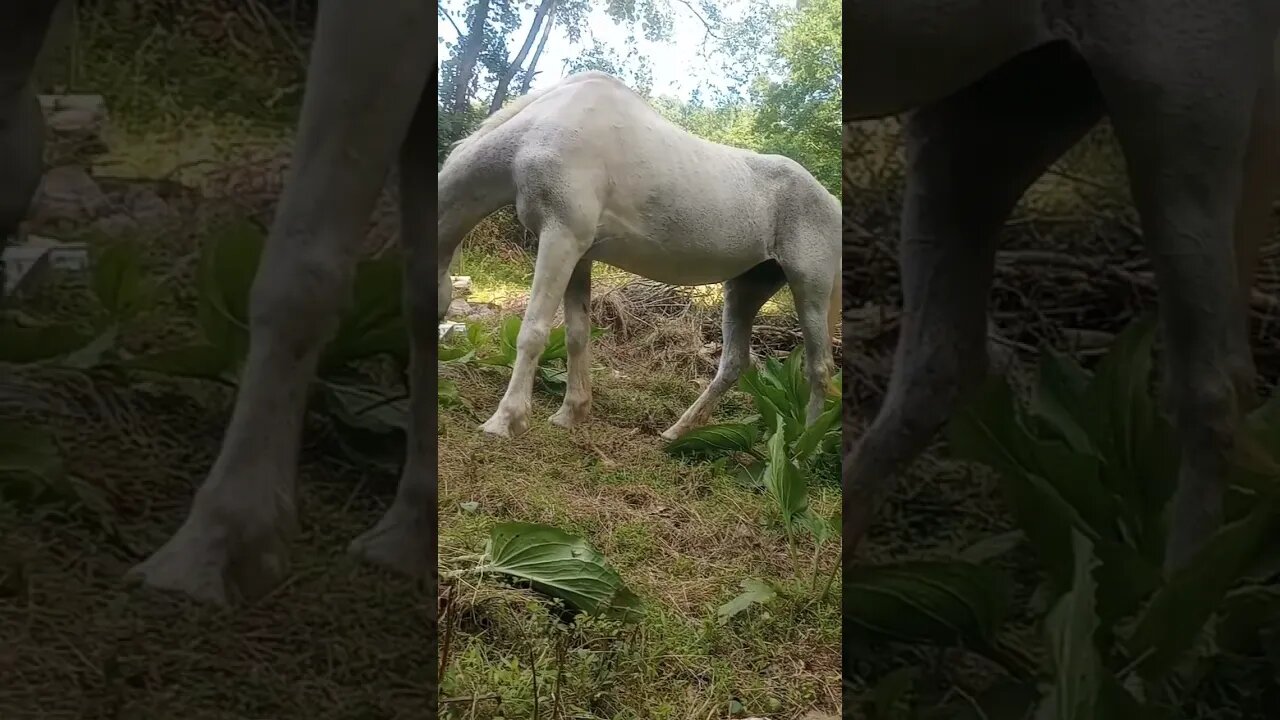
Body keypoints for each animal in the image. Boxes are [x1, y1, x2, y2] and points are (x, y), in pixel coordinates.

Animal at [435, 74, 844, 443]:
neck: (539, 131)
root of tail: (832, 201)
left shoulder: (560, 238)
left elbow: (533, 330)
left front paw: (506, 420)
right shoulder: (578, 254)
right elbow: (577, 333)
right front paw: (571, 413)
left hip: (809, 290)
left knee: (820, 367)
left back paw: (804, 445)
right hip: (745, 289)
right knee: (734, 363)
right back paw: (677, 432)